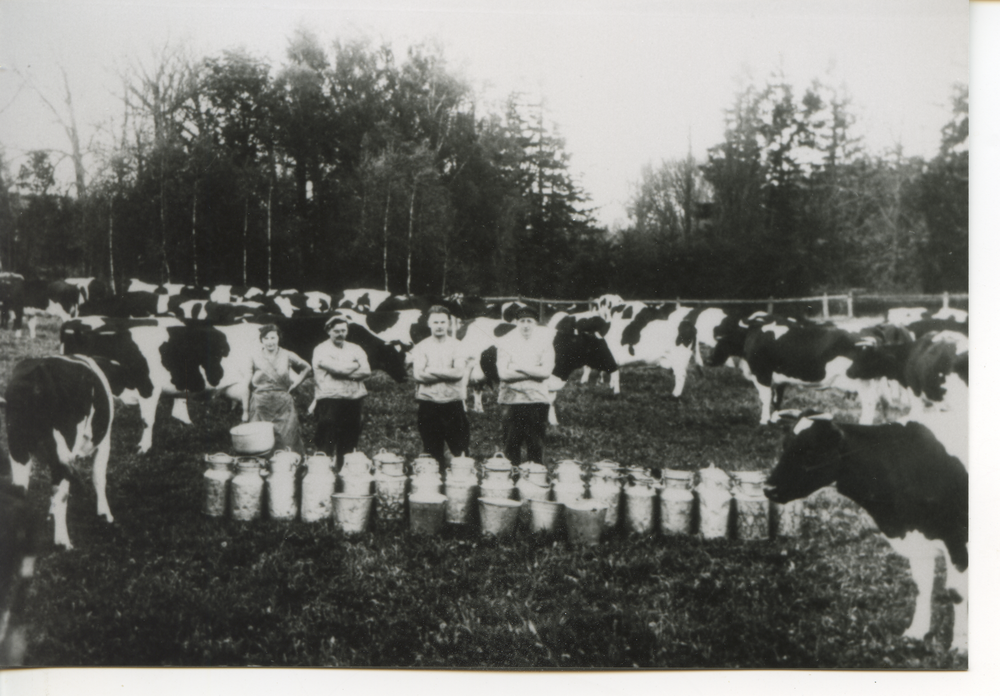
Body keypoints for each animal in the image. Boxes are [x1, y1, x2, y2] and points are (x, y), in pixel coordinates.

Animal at [3, 358, 119, 548]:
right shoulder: (104, 442)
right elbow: (99, 477)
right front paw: (105, 513)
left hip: (18, 447)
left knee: (20, 490)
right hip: (62, 451)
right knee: (61, 494)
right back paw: (63, 542)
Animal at [764, 408, 968, 652]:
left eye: (811, 450)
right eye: (785, 445)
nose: (768, 488)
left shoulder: (958, 542)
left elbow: (957, 593)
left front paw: (960, 645)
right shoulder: (916, 539)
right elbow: (922, 586)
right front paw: (916, 633)